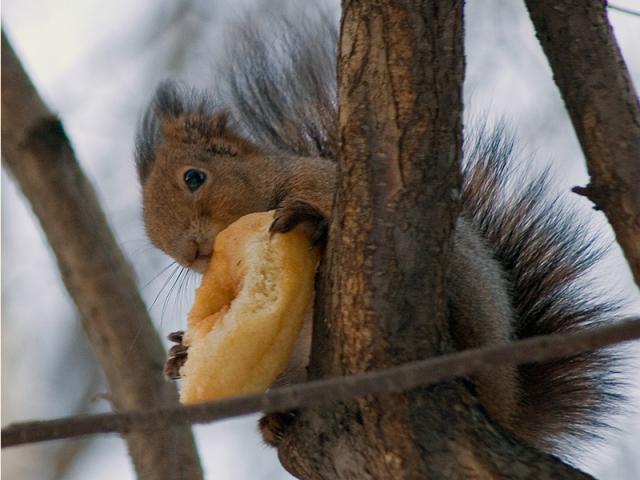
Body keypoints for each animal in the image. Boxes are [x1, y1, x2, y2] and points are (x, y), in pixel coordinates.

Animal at [134, 13, 624, 458]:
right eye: (151, 233)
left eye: (194, 177)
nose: (190, 252)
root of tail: (507, 405)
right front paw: (179, 356)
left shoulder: (327, 187)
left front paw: (308, 220)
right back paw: (275, 421)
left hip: (464, 288)